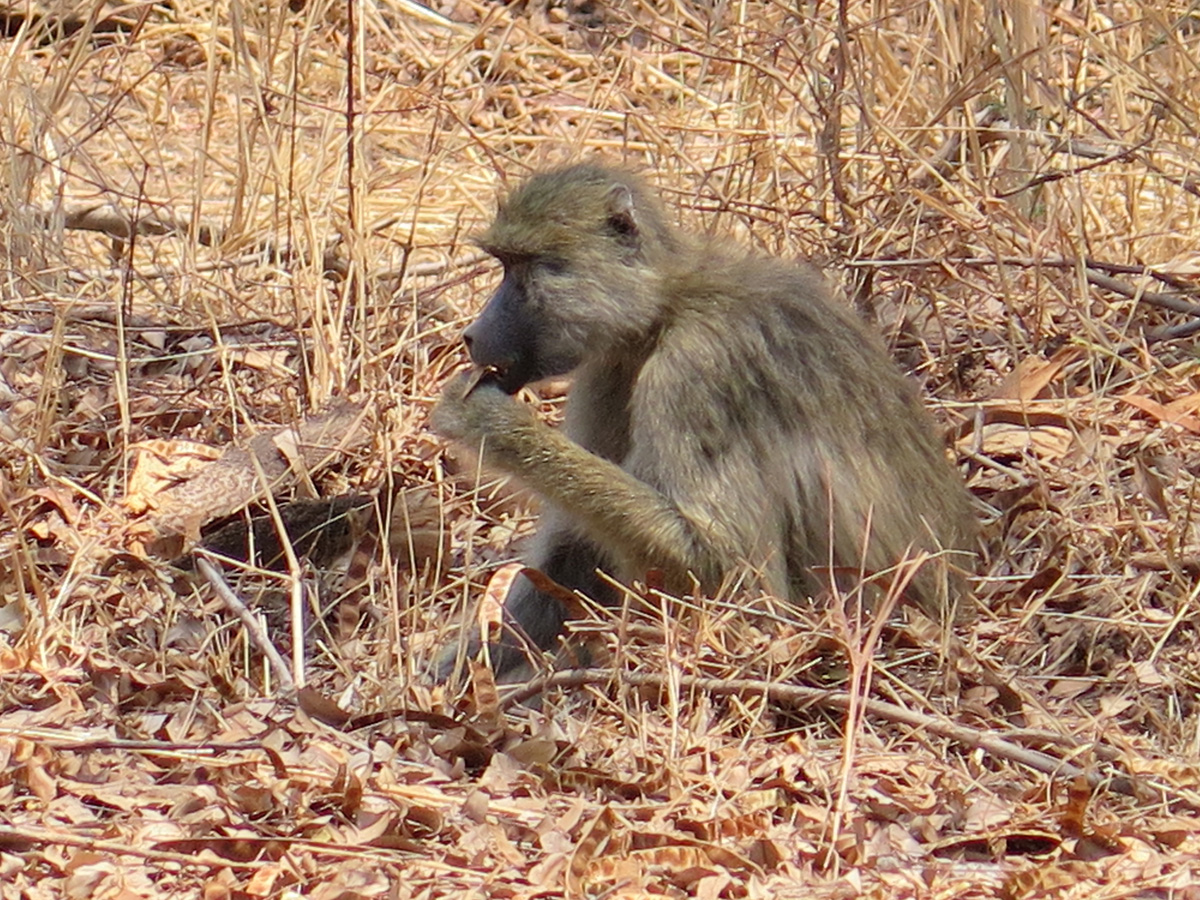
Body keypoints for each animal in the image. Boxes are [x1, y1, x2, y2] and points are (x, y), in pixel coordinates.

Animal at [431, 163, 976, 678]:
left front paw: (486, 420)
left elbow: (727, 570)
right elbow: (574, 553)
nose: (472, 335)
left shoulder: (697, 366)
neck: (666, 306)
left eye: (522, 268)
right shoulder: (607, 370)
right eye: (504, 264)